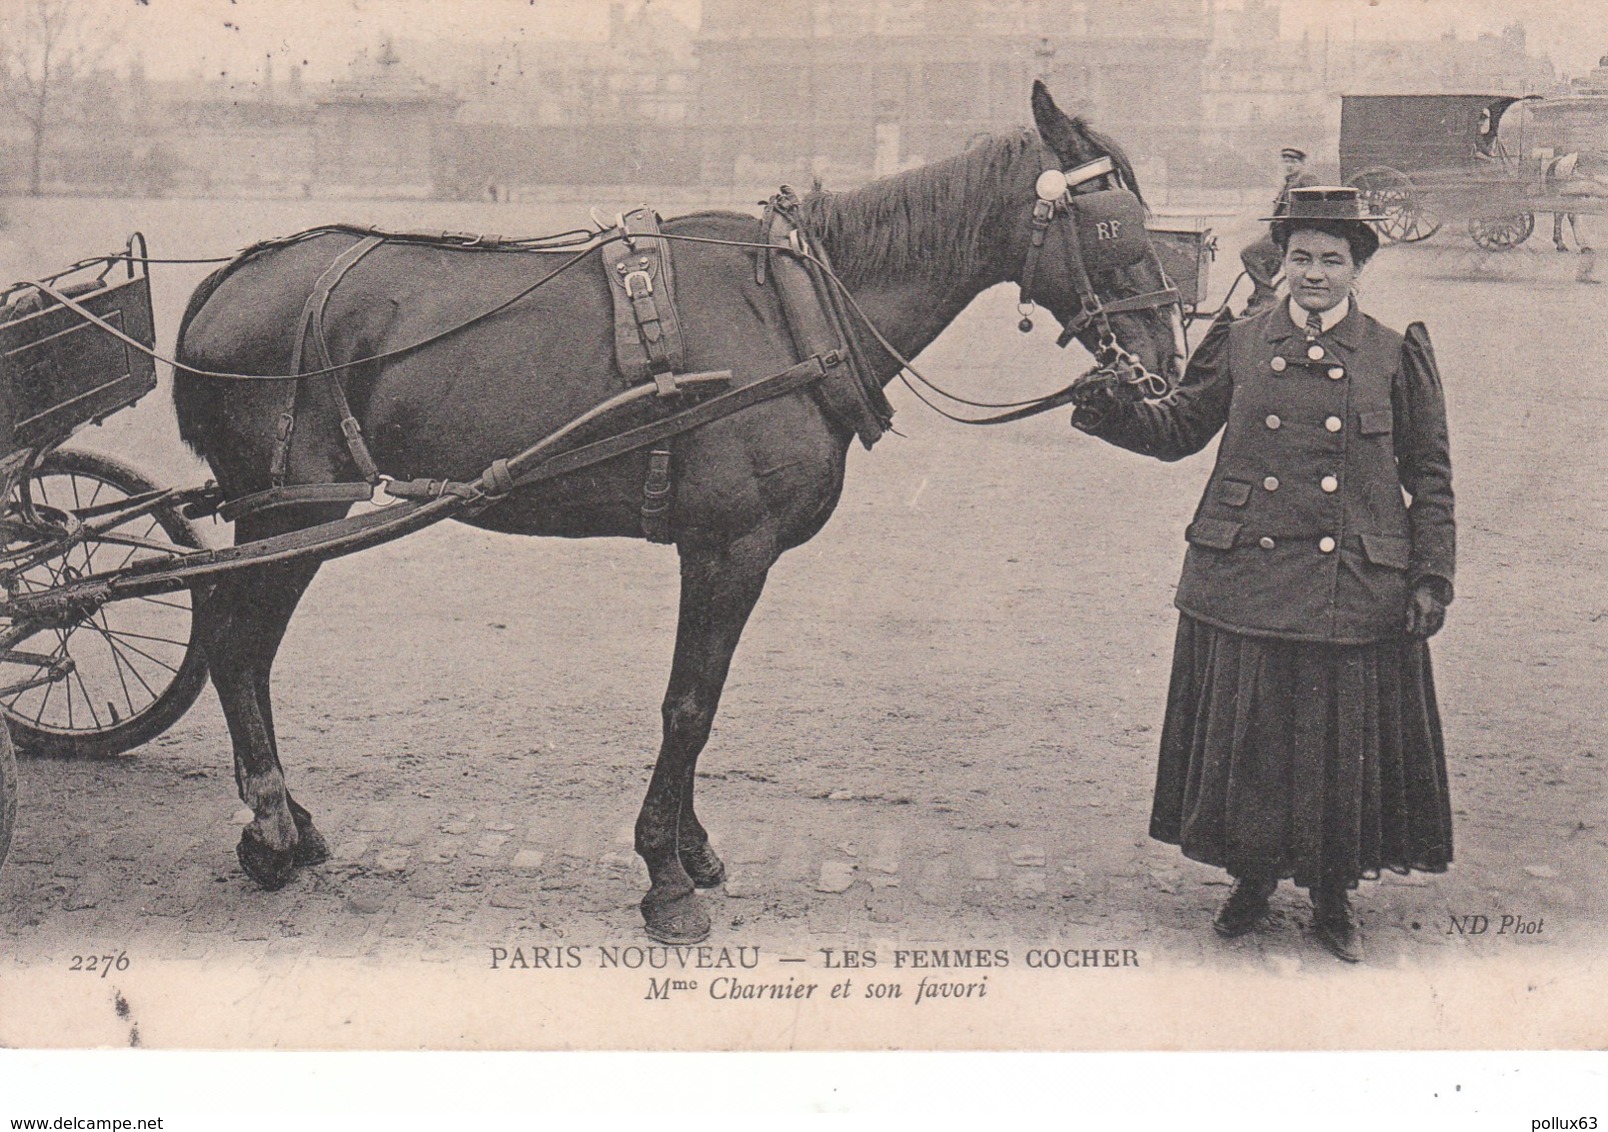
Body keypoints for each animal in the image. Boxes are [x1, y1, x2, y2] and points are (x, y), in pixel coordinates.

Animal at [172, 82, 1183, 945]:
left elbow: (708, 696)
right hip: (292, 514)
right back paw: (270, 828)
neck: (792, 311)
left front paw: (691, 850)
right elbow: (688, 705)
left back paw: (289, 820)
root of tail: (234, 275)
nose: (1165, 363)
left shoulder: (735, 555)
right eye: (1113, 225)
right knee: (235, 643)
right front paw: (664, 874)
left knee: (243, 646)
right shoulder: (728, 547)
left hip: (293, 516)